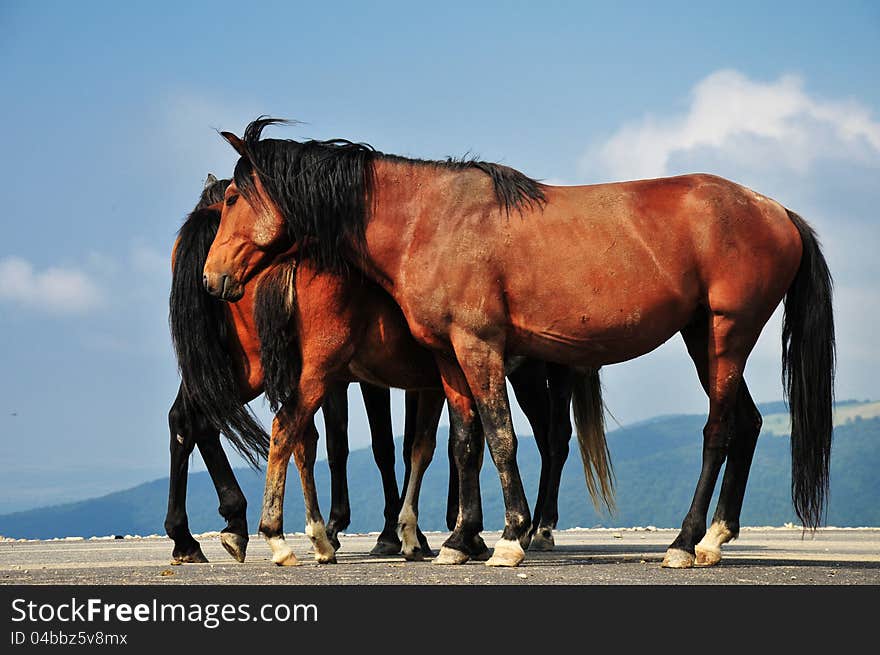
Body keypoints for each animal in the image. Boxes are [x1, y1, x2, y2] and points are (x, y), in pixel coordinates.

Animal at [203, 118, 836, 568]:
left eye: (232, 197)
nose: (212, 278)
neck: (427, 220)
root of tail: (777, 211)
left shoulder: (480, 346)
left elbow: (500, 436)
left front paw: (508, 537)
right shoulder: (447, 357)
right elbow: (464, 442)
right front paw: (460, 540)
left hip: (729, 332)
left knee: (719, 431)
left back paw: (685, 542)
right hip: (702, 337)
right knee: (748, 424)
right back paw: (717, 536)